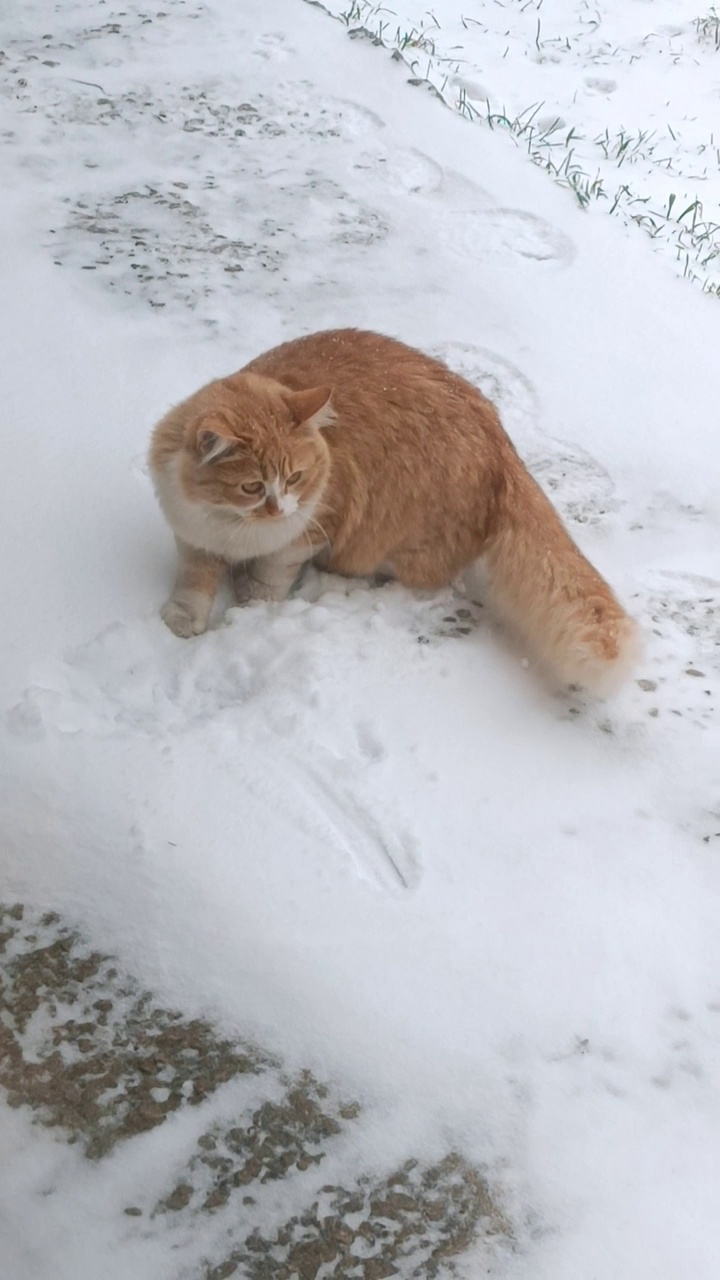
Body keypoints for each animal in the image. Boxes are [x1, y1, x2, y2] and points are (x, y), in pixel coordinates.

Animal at [148, 327, 635, 691]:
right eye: (250, 486)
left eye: (296, 478)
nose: (278, 510)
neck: (233, 531)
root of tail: (502, 446)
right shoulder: (192, 534)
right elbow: (194, 581)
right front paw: (183, 618)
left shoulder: (315, 523)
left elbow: (272, 573)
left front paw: (253, 602)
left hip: (393, 542)